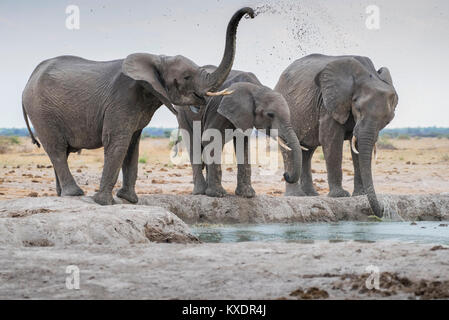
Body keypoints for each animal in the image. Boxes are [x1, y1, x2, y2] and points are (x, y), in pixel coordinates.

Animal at [21, 8, 254, 206]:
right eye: (187, 77)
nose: (251, 13)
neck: (157, 59)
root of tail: (29, 80)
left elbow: (133, 145)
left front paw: (129, 199)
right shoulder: (122, 99)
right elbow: (118, 142)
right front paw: (104, 203)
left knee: (61, 152)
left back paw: (63, 195)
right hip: (41, 111)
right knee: (57, 149)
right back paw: (75, 193)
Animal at [174, 66, 300, 198]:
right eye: (270, 114)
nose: (285, 174)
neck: (257, 88)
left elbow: (242, 144)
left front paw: (247, 195)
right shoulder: (219, 106)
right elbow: (211, 138)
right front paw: (218, 194)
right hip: (182, 113)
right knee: (194, 144)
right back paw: (200, 192)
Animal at [274, 54, 398, 218]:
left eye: (387, 119)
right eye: (358, 108)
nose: (383, 211)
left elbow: (356, 146)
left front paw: (360, 195)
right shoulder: (328, 104)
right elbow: (331, 139)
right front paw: (340, 196)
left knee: (307, 151)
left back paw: (311, 195)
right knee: (291, 148)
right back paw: (296, 196)